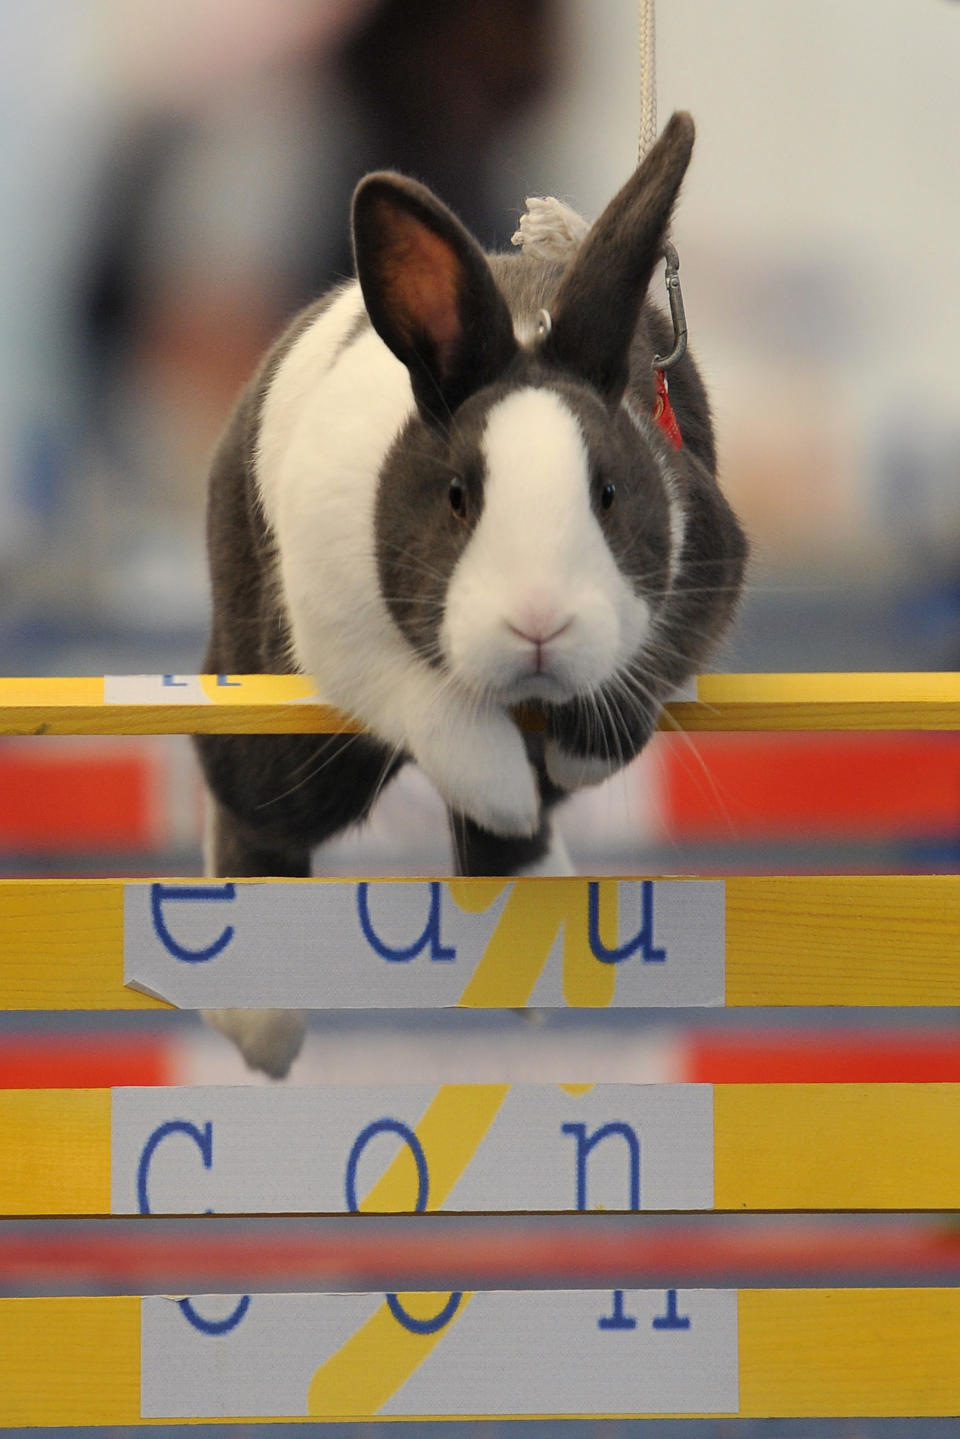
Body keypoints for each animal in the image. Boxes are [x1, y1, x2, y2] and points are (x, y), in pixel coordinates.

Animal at [192, 112, 748, 1076]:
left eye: (609, 493)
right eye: (457, 497)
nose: (538, 624)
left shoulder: (705, 569)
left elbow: (626, 696)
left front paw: (573, 756)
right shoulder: (340, 633)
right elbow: (440, 713)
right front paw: (500, 782)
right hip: (278, 723)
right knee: (250, 806)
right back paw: (260, 1026)